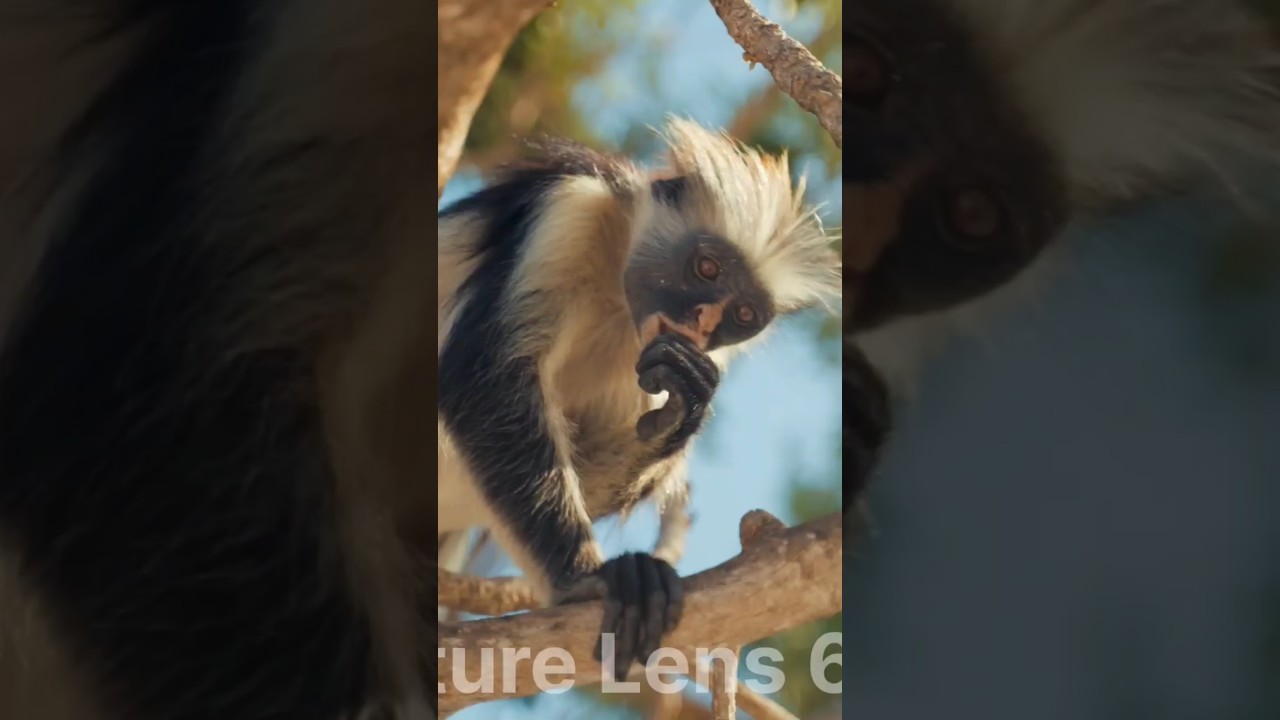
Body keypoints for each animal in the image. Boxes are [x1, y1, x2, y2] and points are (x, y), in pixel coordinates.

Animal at [436, 119, 841, 676]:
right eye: (706, 268)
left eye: (742, 315)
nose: (704, 322)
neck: (614, 294)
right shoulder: (567, 210)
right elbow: (485, 382)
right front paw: (584, 579)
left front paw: (684, 408)